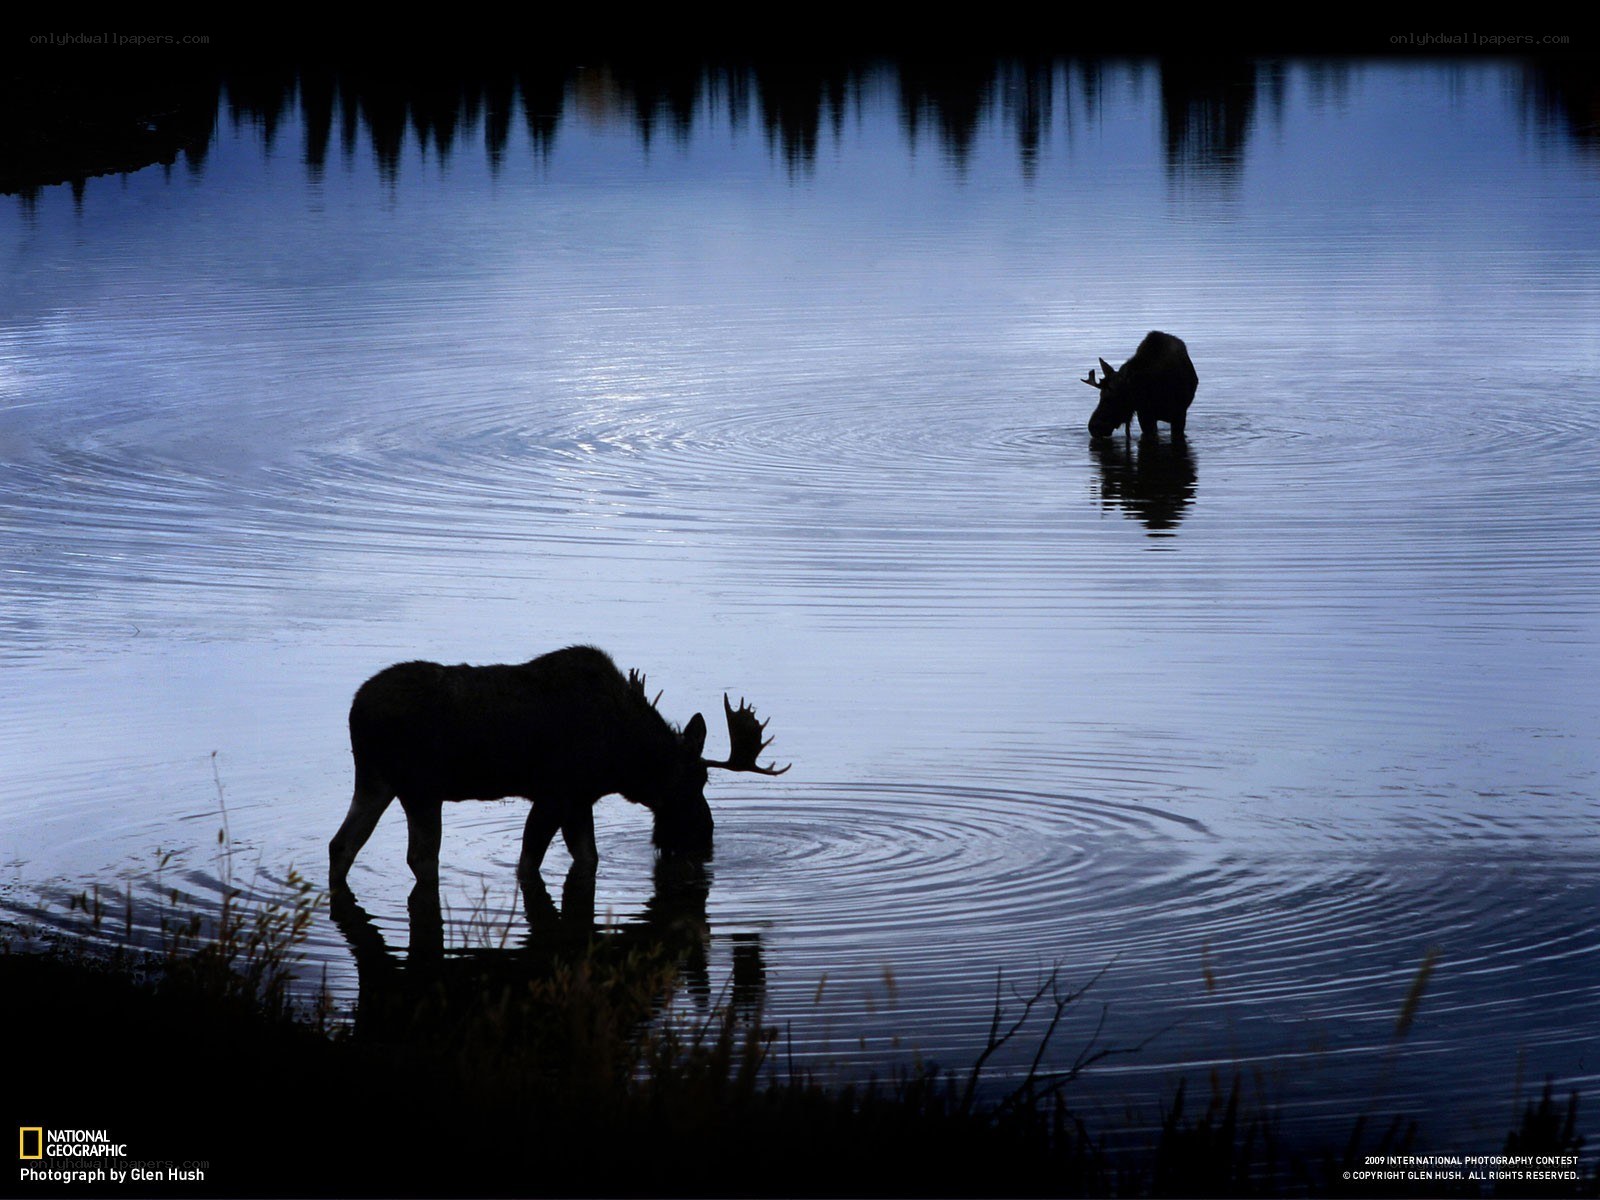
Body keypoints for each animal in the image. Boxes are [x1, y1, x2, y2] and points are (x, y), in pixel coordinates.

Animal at [328, 645, 789, 891]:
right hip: (421, 789)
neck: (624, 757)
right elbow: (530, 862)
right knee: (421, 856)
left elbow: (588, 857)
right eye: (695, 781)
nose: (705, 834)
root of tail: (354, 710)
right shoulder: (555, 795)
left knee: (342, 844)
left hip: (375, 780)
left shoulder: (579, 800)